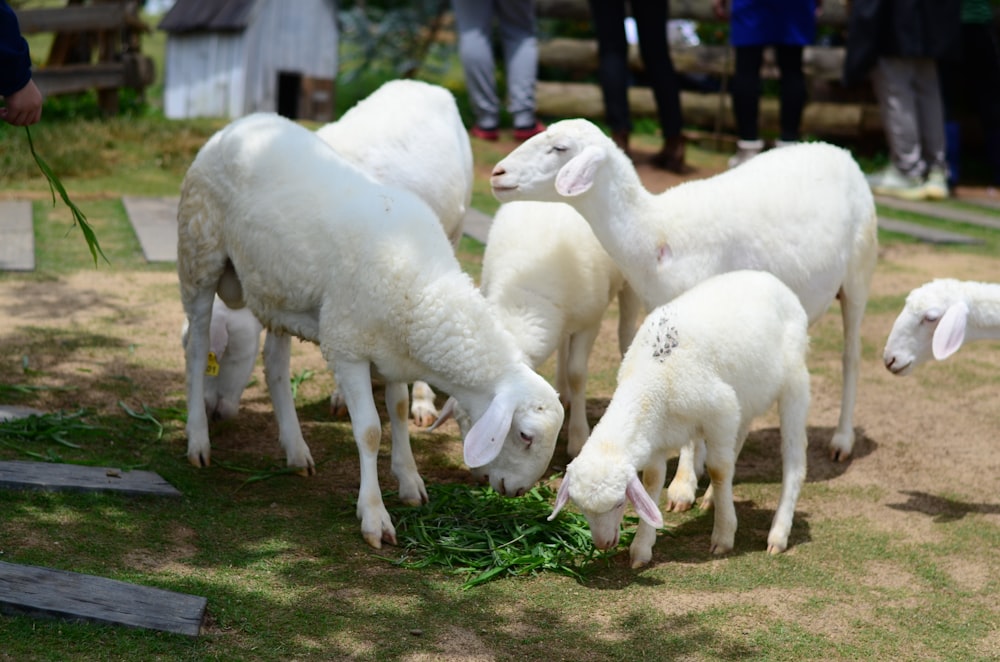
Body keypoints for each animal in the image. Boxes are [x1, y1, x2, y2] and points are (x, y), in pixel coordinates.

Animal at [178, 113, 564, 548]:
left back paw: (296, 449)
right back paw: (198, 439)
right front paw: (375, 516)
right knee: (197, 349)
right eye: (526, 435)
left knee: (275, 363)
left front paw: (410, 481)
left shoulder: (392, 352)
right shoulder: (347, 347)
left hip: (276, 291)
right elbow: (368, 431)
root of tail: (242, 123)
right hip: (198, 253)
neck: (424, 287)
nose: (518, 490)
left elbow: (398, 410)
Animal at [548, 272, 812, 568]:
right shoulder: (658, 437)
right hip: (746, 393)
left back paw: (778, 533)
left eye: (619, 503)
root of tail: (770, 279)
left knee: (794, 460)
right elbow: (653, 479)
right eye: (581, 508)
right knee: (741, 433)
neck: (652, 377)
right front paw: (642, 548)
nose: (603, 544)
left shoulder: (720, 410)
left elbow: (719, 470)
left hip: (794, 382)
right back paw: (712, 499)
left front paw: (724, 534)